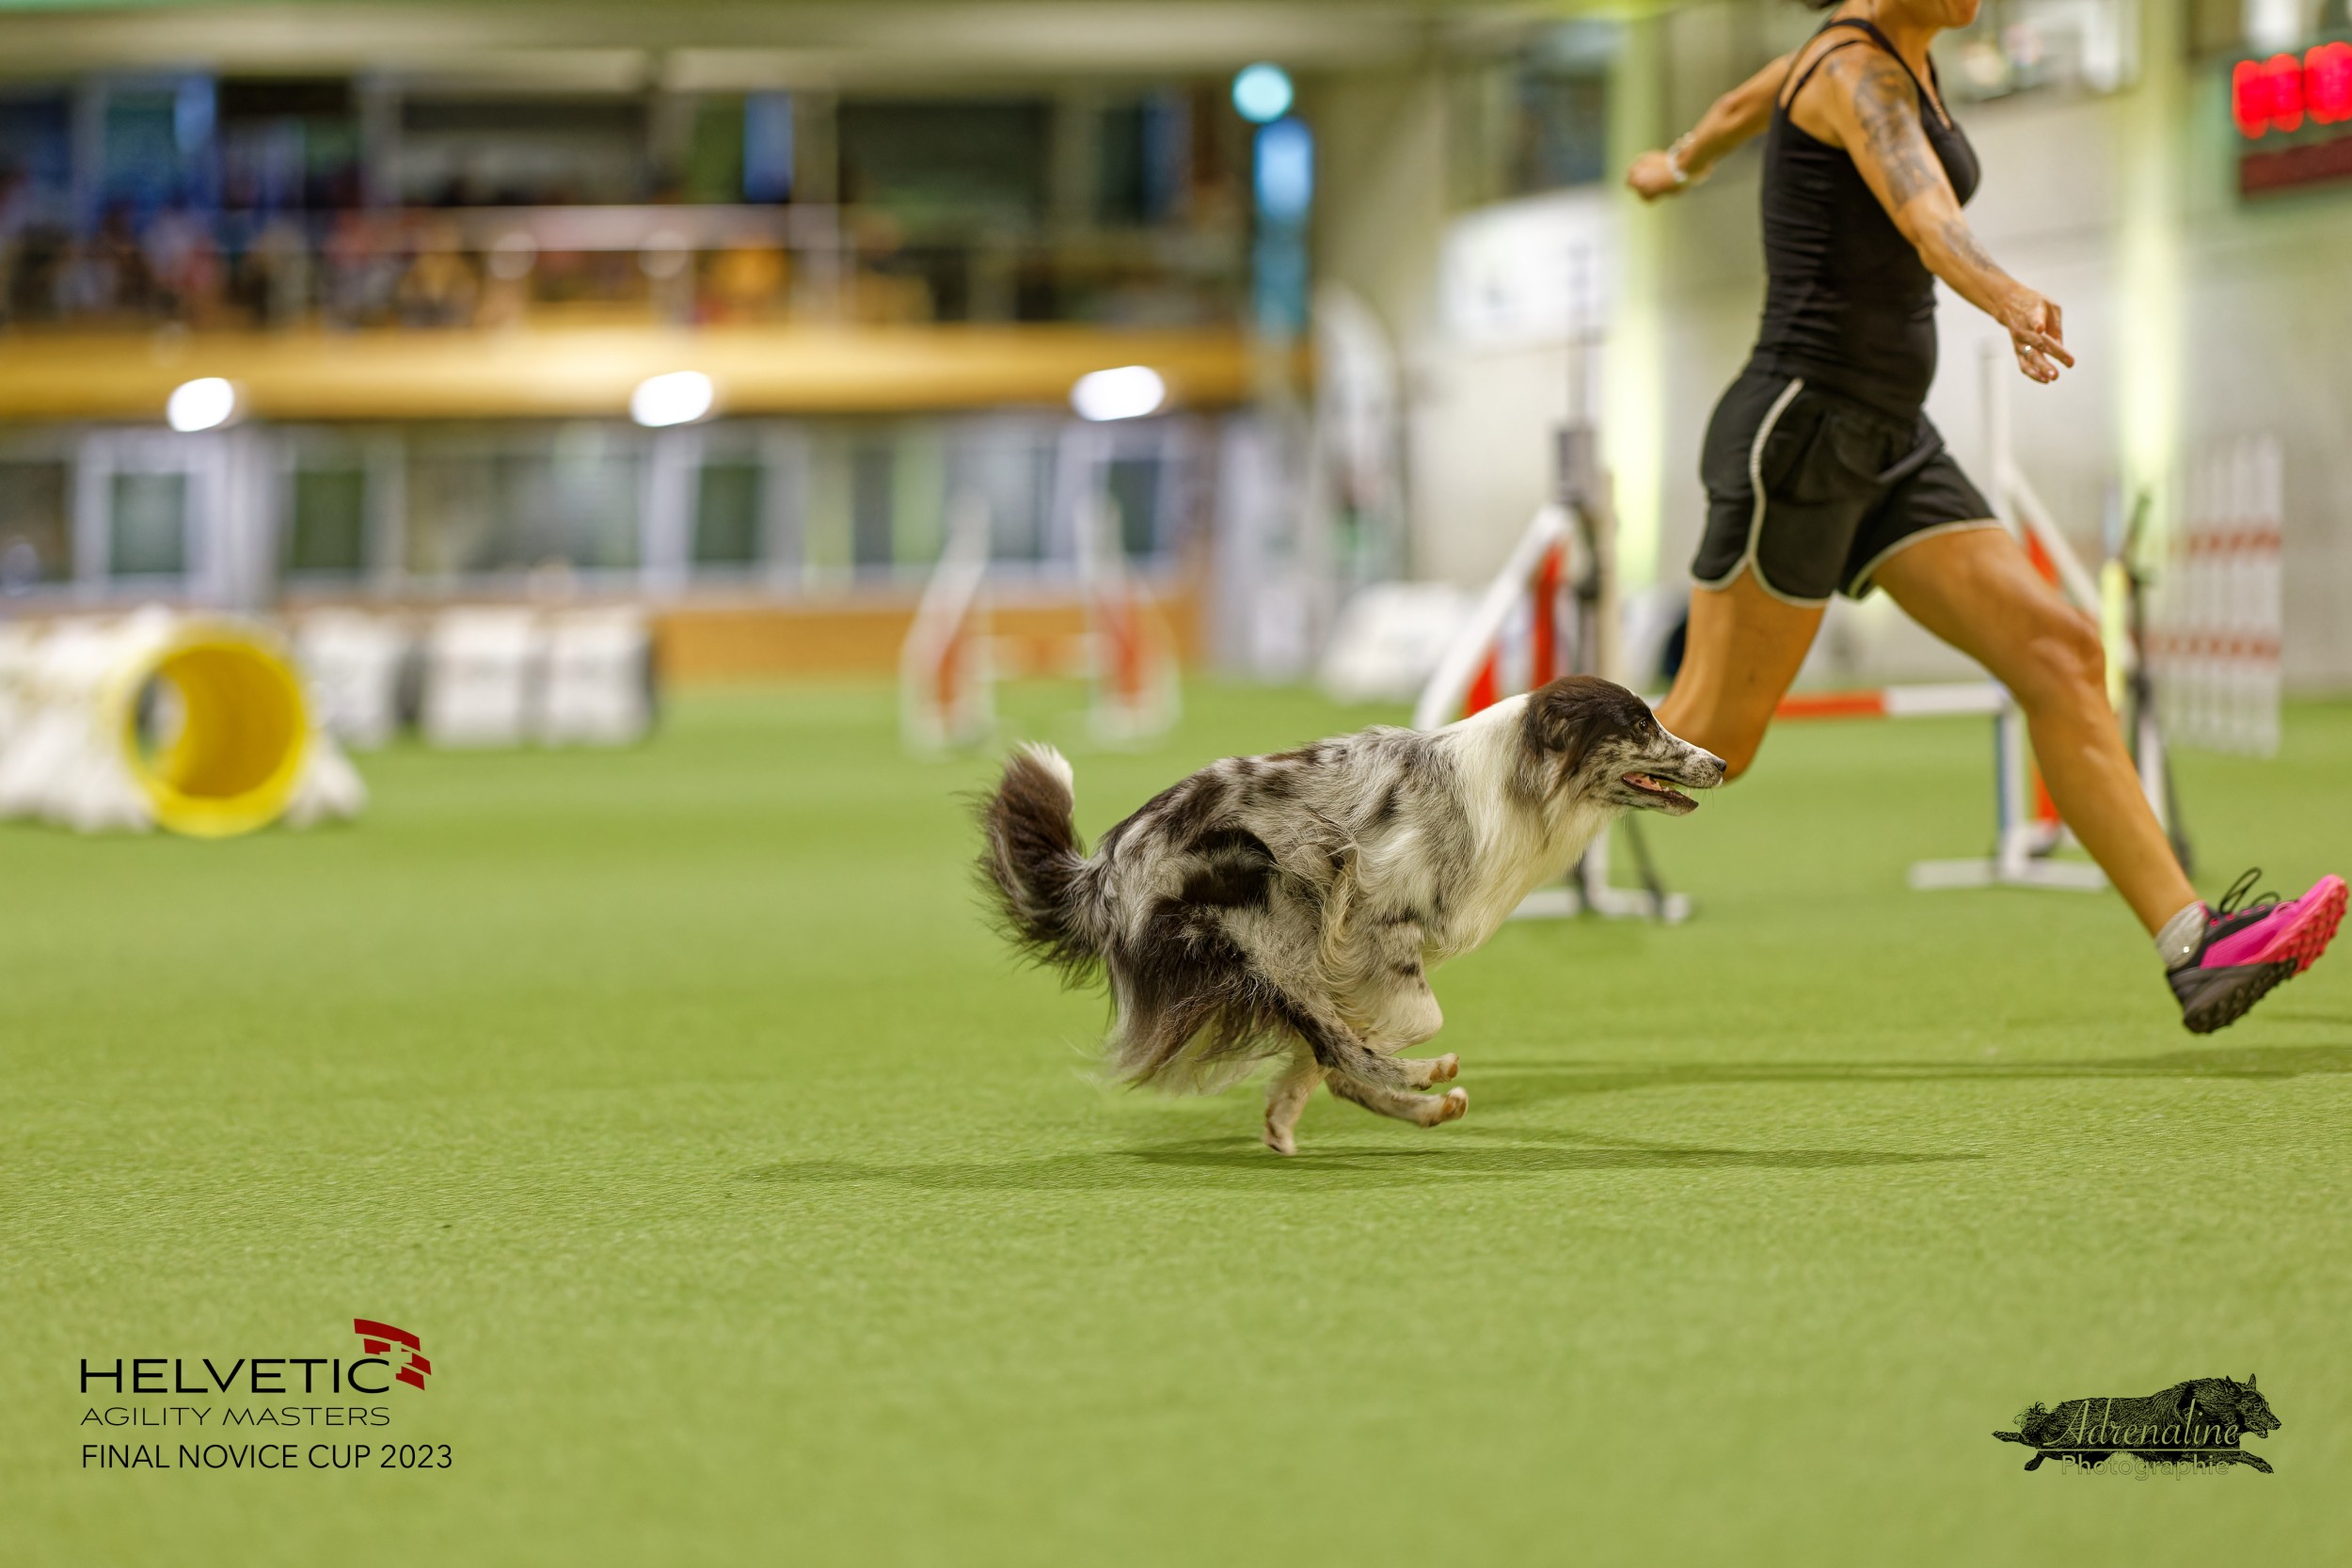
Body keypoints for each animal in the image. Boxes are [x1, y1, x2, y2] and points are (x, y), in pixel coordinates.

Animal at [978, 676, 1725, 1153]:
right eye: (1641, 723)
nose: (1720, 761)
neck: (1514, 783)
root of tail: (1104, 870)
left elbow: (1341, 1044)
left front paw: (1288, 1098)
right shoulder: (1374, 918)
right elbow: (1406, 1021)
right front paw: (1374, 1067)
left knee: (1329, 1039)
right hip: (1284, 902)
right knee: (1334, 1037)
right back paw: (1424, 1081)